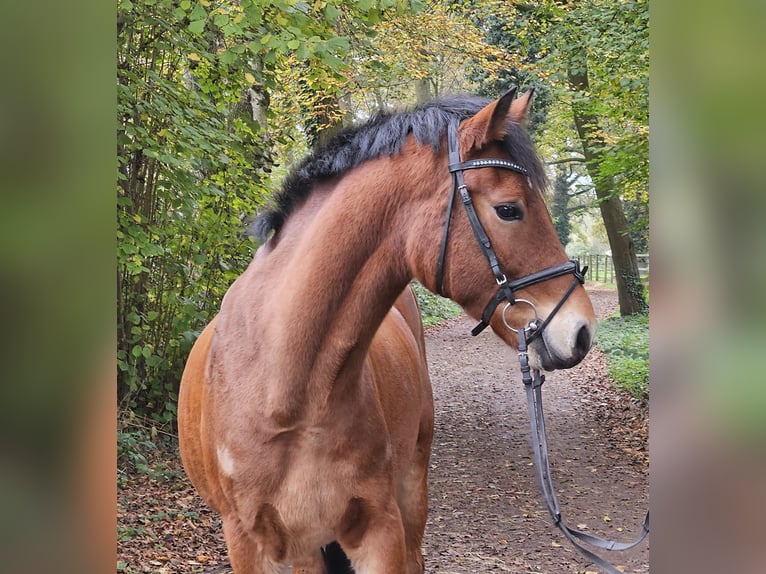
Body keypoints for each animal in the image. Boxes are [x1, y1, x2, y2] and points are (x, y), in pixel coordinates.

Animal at [178, 88, 600, 572]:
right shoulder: (251, 544)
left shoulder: (379, 528)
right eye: (509, 209)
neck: (286, 392)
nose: (581, 331)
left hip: (411, 489)